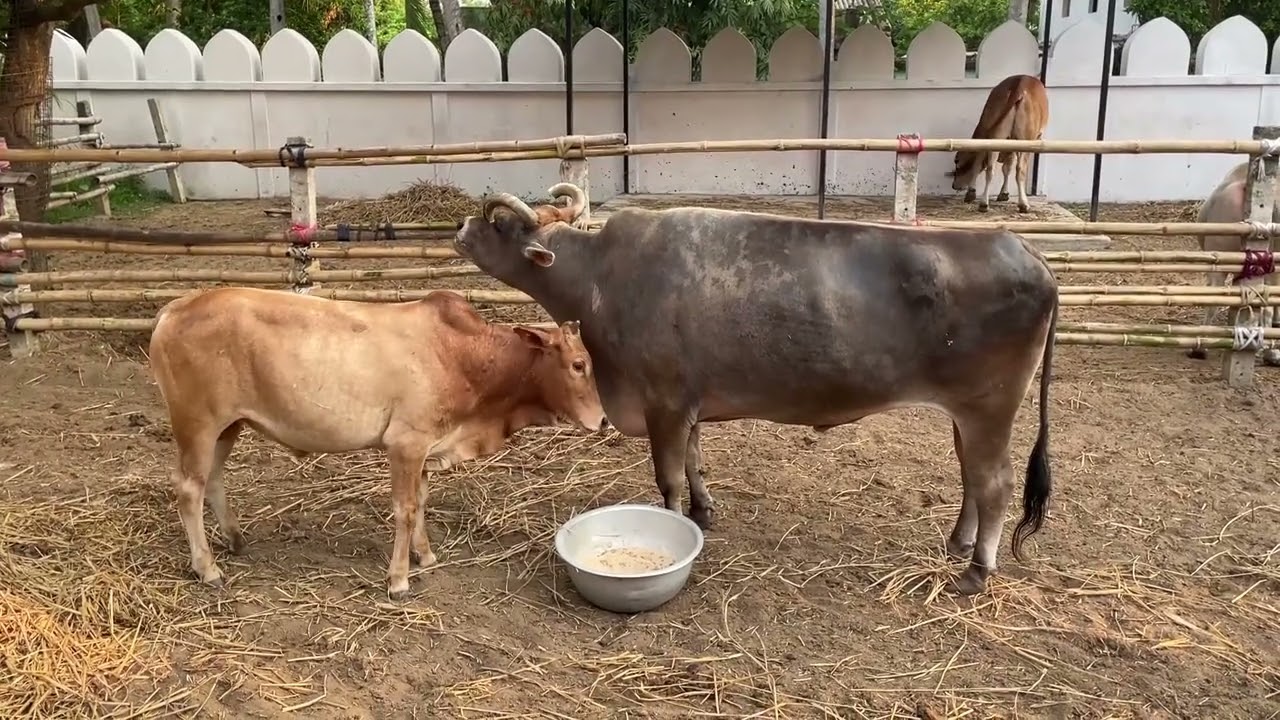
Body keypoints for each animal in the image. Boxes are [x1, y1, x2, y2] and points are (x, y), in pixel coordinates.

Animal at [147, 287, 607, 599]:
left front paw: (426, 556)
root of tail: (175, 309)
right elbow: (405, 510)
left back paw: (235, 539)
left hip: (228, 426)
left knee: (213, 480)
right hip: (197, 425)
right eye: (577, 364)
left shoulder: (425, 448)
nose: (602, 420)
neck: (463, 356)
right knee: (188, 490)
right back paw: (207, 568)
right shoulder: (406, 443)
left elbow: (421, 501)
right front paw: (399, 578)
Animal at [453, 183, 1060, 595]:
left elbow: (668, 477)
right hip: (967, 416)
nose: (459, 229)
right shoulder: (687, 402)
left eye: (500, 225)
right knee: (971, 478)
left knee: (996, 484)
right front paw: (703, 511)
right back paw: (958, 542)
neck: (599, 279)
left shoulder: (662, 401)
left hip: (989, 408)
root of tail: (1022, 250)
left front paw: (680, 520)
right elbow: (694, 462)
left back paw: (977, 570)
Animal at [947, 74, 1050, 215]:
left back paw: (983, 203)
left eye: (957, 162)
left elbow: (997, 167)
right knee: (1019, 170)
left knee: (990, 169)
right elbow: (1006, 167)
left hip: (996, 136)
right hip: (1025, 140)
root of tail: (1018, 85)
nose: (953, 185)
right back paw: (1023, 204)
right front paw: (1003, 193)